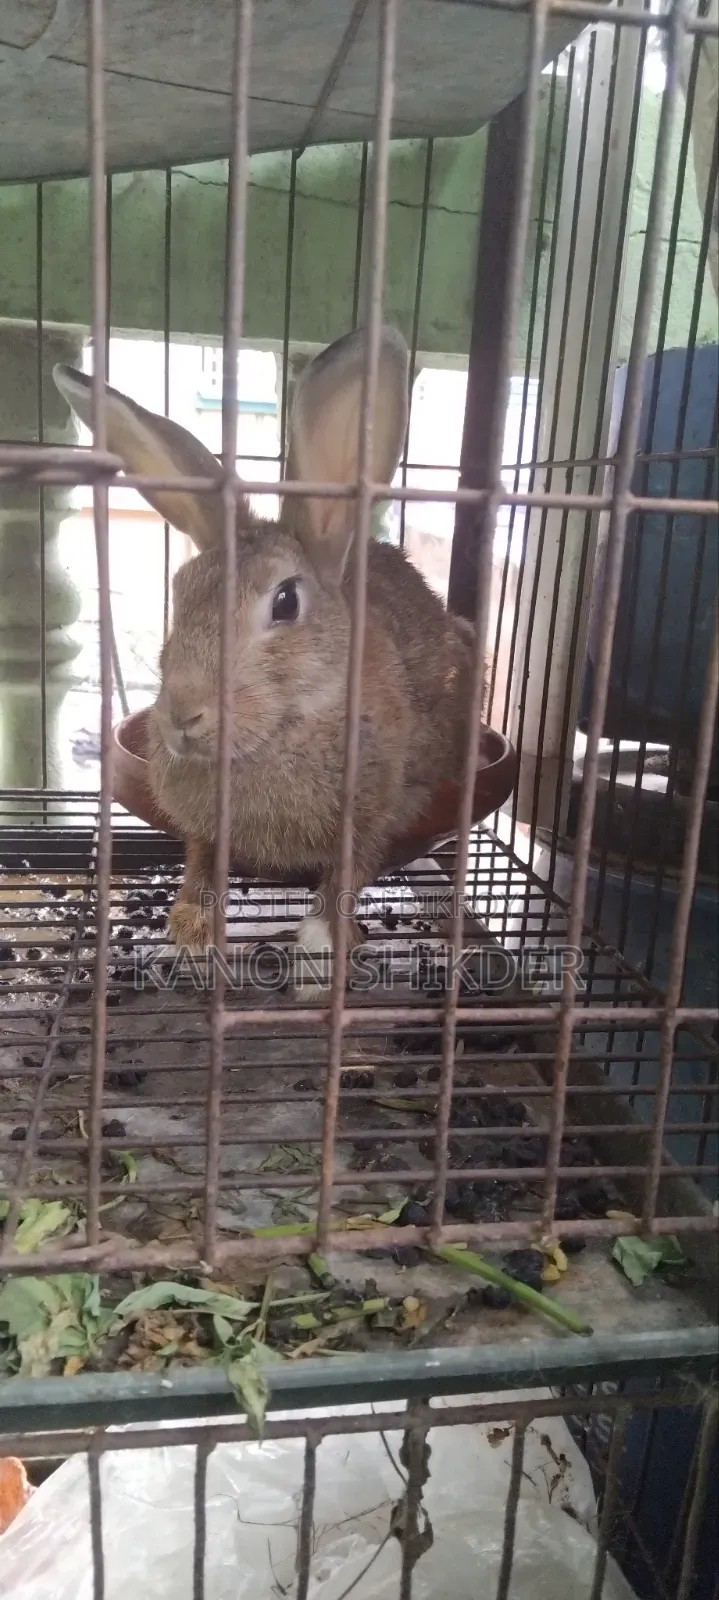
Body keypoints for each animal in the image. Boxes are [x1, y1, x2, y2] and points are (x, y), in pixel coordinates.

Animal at [53, 327, 480, 973]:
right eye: (180, 591)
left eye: (284, 602)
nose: (183, 716)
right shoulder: (205, 829)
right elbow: (202, 859)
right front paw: (191, 927)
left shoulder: (375, 813)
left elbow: (350, 870)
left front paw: (327, 938)